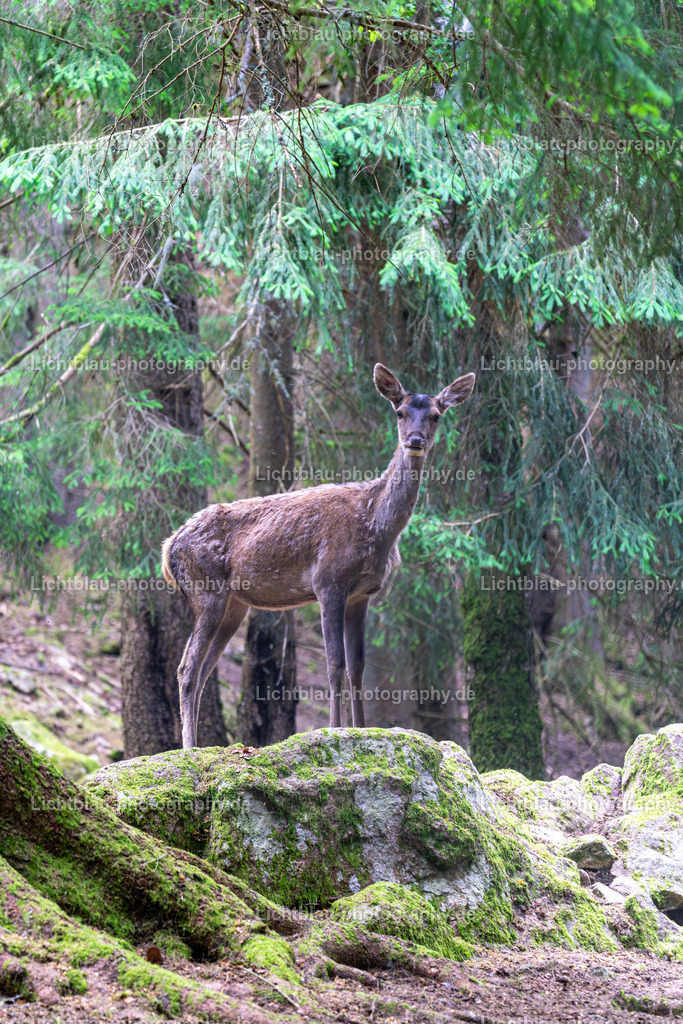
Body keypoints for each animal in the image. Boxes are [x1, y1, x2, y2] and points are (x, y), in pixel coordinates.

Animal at [161, 363, 475, 748]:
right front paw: (335, 728)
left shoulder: (362, 594)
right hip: (206, 590)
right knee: (187, 667)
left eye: (435, 415)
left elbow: (358, 666)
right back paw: (189, 747)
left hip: (234, 604)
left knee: (205, 668)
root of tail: (168, 548)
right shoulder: (329, 582)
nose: (415, 440)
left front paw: (361, 729)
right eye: (400, 412)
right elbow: (334, 663)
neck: (375, 525)